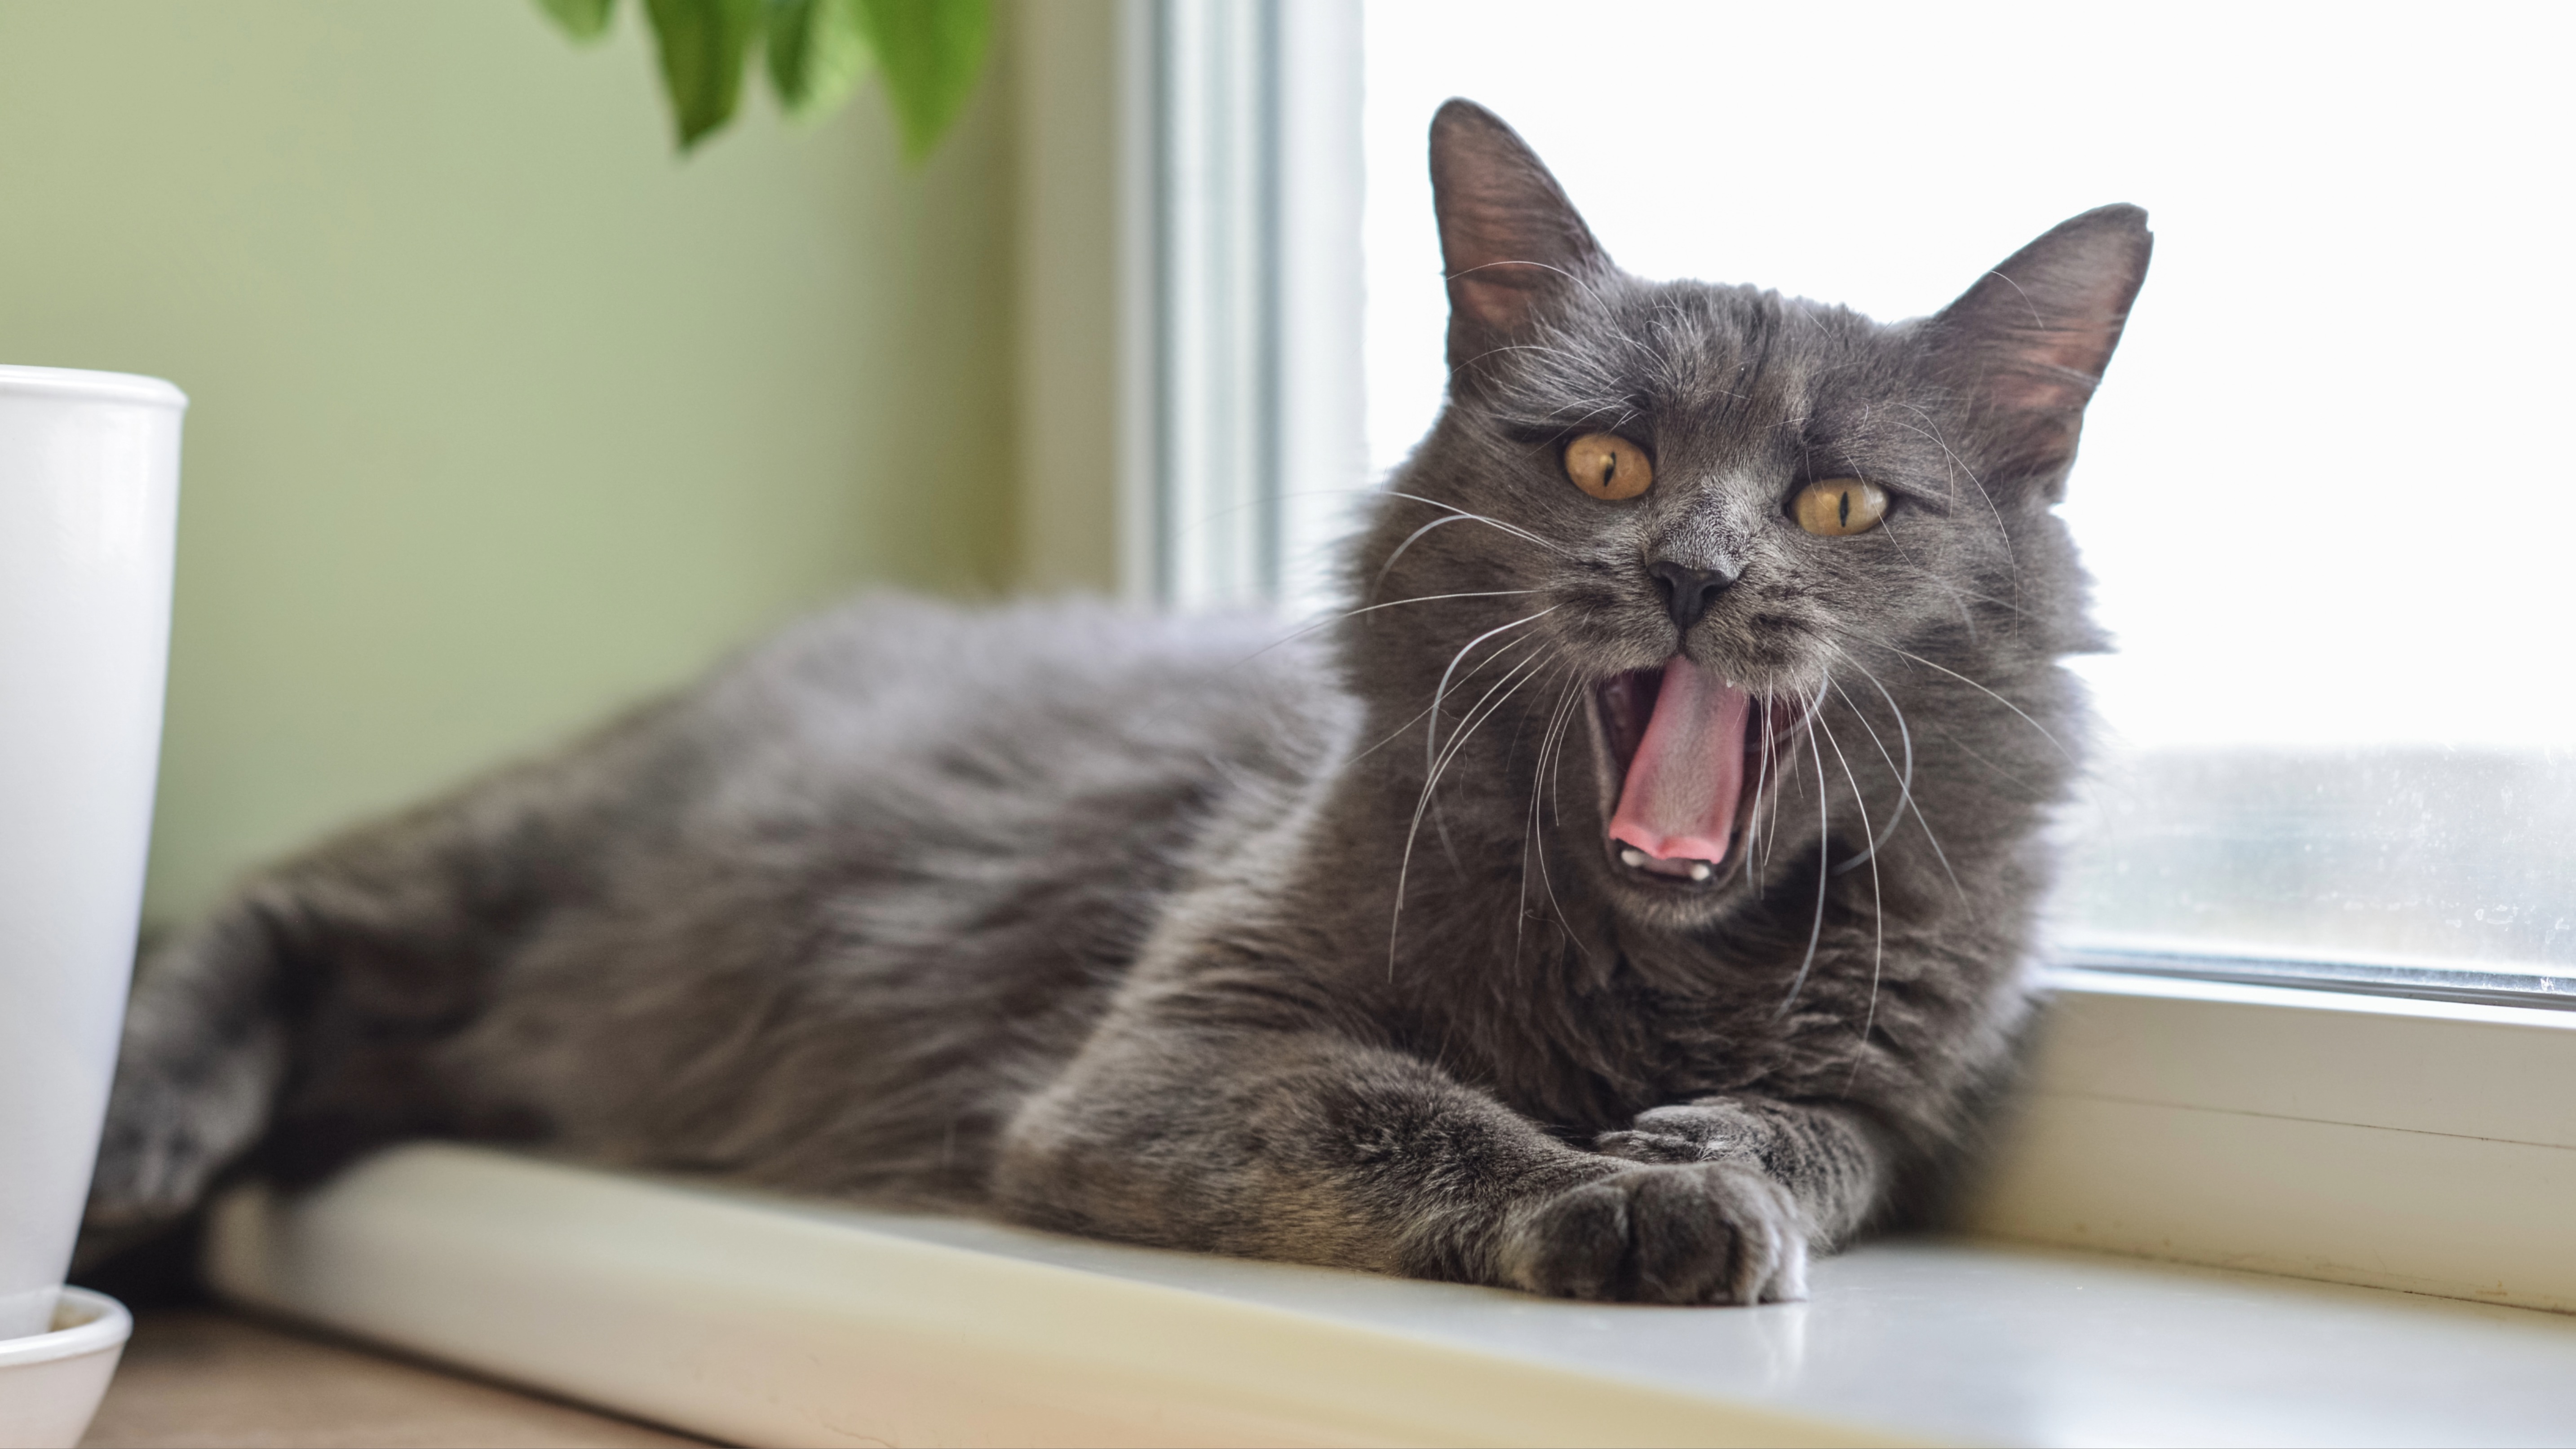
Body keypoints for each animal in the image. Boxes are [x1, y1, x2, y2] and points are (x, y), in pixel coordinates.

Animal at [85, 102, 2153, 1302]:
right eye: (1605, 465)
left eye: (1839, 505)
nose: (1696, 574)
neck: (1650, 973)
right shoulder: (1169, 1055)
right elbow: (1416, 1112)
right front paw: (1626, 1197)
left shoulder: (1892, 1078)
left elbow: (1823, 1142)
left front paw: (1708, 1155)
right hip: (514, 856)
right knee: (273, 907)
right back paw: (129, 1134)